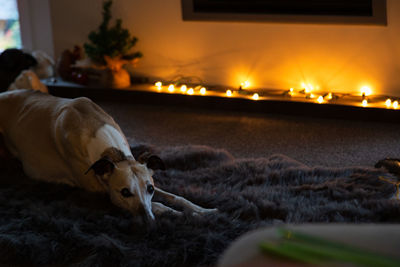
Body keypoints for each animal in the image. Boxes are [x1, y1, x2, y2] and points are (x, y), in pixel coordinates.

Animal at [0, 89, 217, 223]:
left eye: (150, 188)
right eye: (124, 192)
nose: (148, 222)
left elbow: (176, 197)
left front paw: (203, 211)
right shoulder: (102, 192)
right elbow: (159, 205)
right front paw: (180, 215)